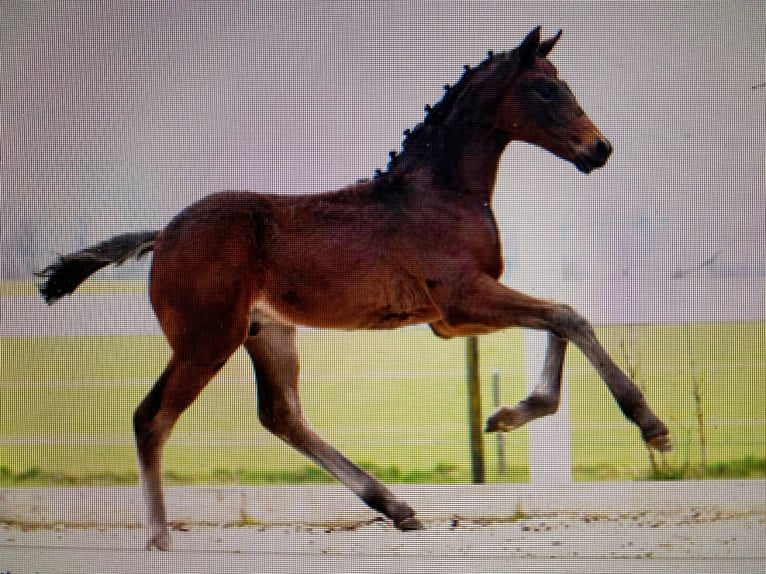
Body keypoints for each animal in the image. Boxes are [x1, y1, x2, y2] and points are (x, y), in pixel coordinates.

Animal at [39, 29, 668, 552]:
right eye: (545, 89)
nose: (599, 149)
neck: (440, 191)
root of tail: (163, 234)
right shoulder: (462, 297)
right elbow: (568, 315)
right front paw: (650, 425)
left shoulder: (452, 319)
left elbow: (558, 319)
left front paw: (508, 416)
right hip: (206, 340)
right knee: (151, 418)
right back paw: (160, 536)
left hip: (265, 332)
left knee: (282, 416)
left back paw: (395, 506)